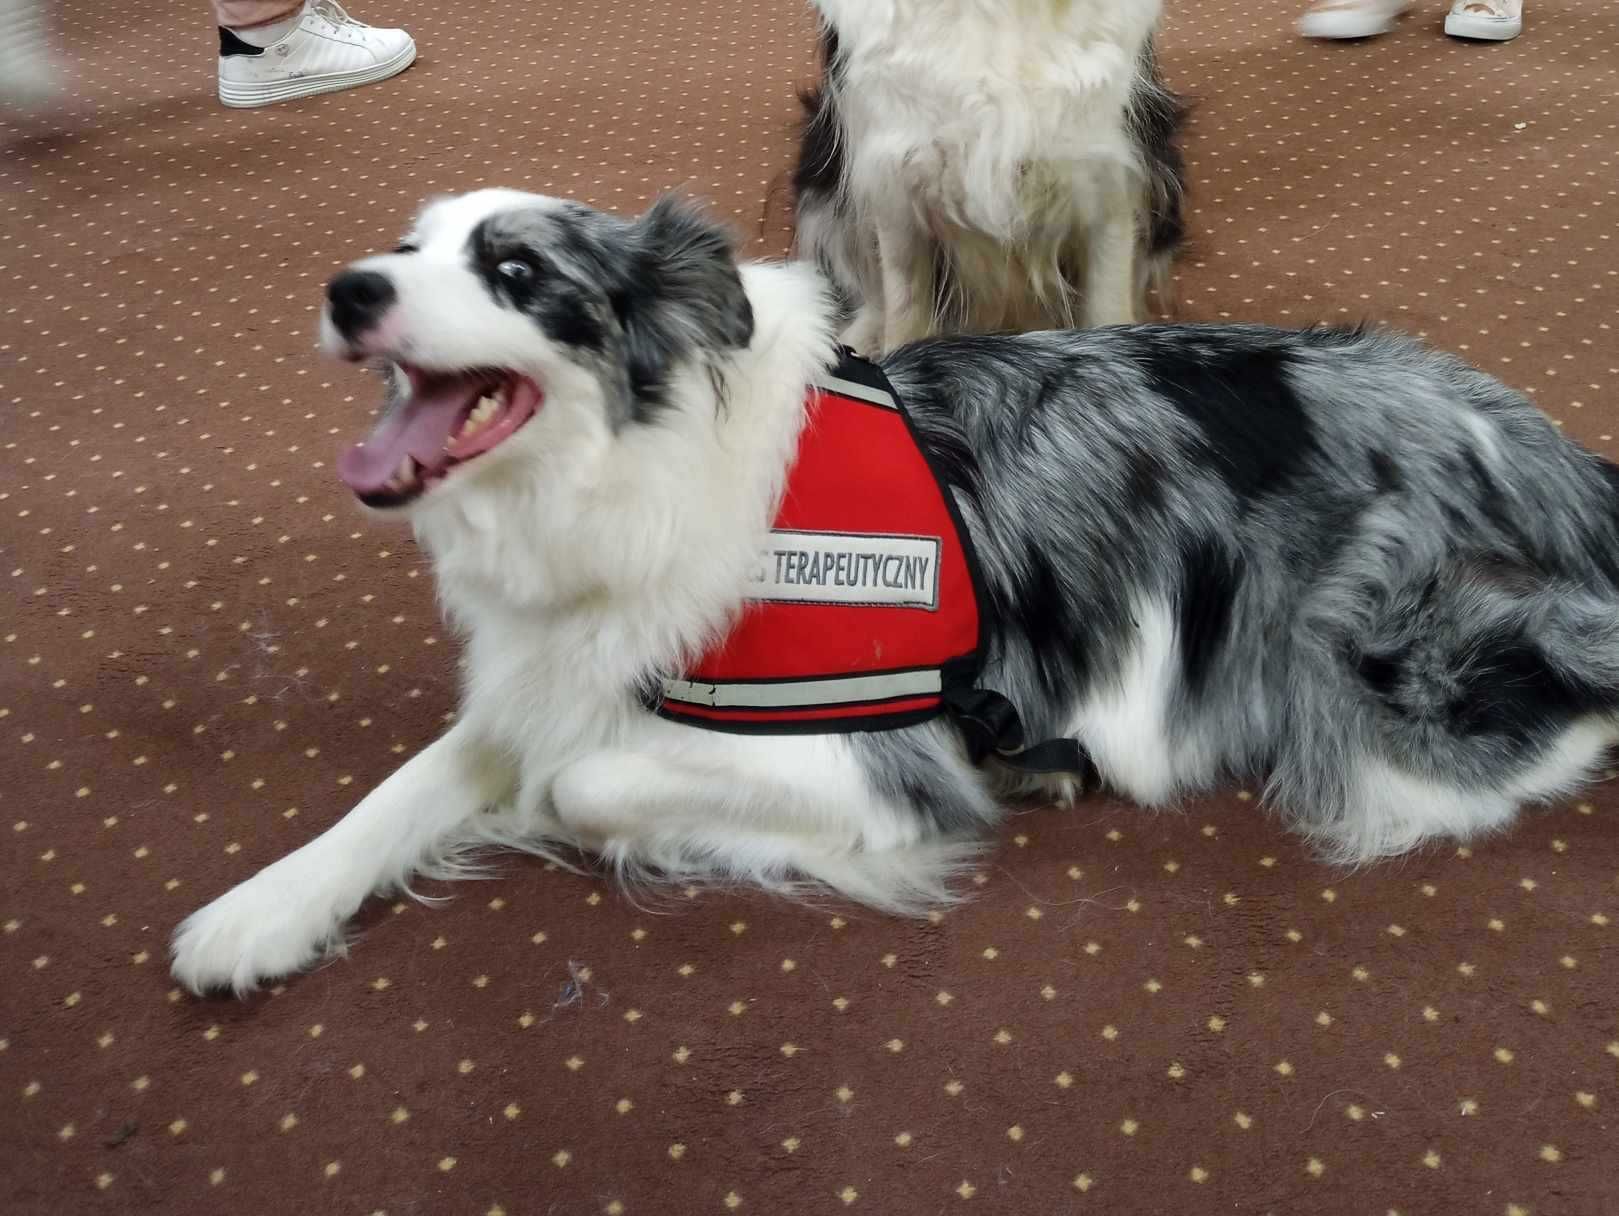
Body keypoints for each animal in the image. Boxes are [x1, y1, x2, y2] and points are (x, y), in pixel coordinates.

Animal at [174, 185, 1619, 990]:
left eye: (515, 271)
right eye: (403, 246)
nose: (347, 287)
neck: (629, 472)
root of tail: (1558, 458)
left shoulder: (867, 761)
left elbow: (579, 782)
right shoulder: (553, 670)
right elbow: (411, 785)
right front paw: (260, 911)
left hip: (1376, 673)